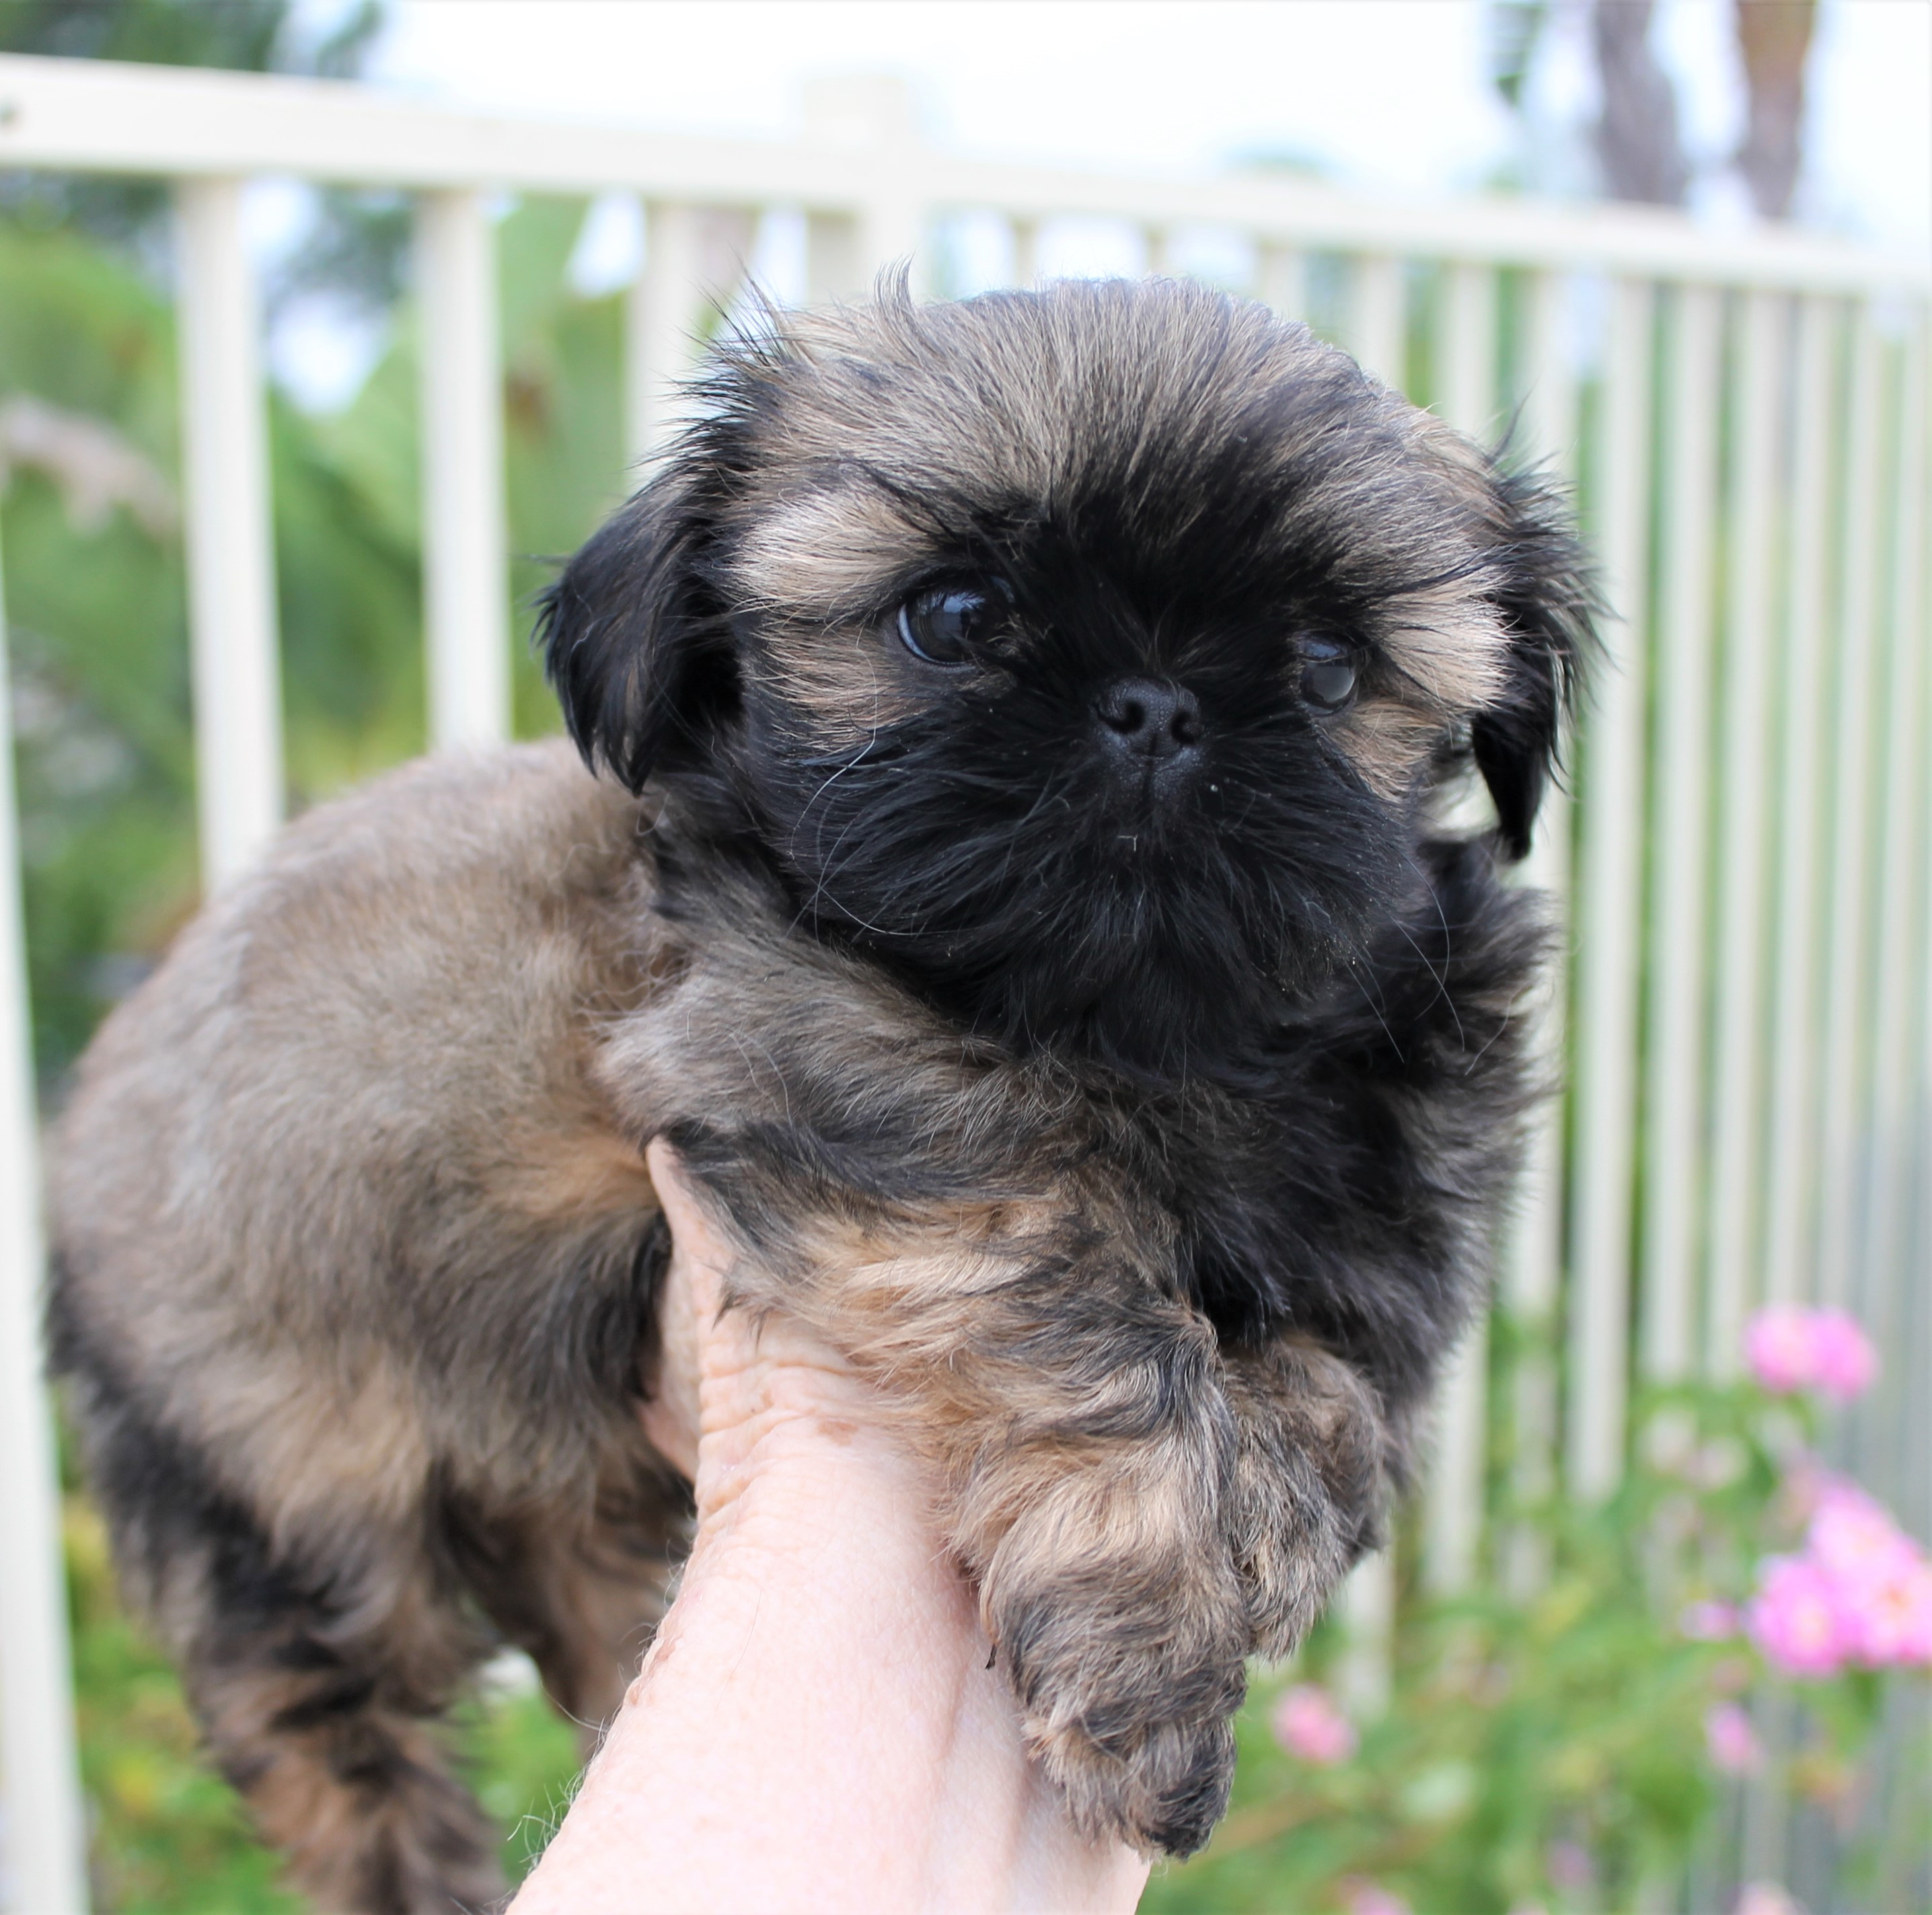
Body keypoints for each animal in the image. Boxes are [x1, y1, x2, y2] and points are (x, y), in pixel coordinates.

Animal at [45, 272, 1592, 1915]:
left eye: (1327, 667)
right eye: (954, 617)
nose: (1155, 707)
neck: (1143, 1029)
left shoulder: (1407, 1185)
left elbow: (1344, 1379)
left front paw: (1279, 1517)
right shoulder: (826, 1064)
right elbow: (1088, 1312)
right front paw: (1154, 1638)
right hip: (269, 1496)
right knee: (334, 1737)